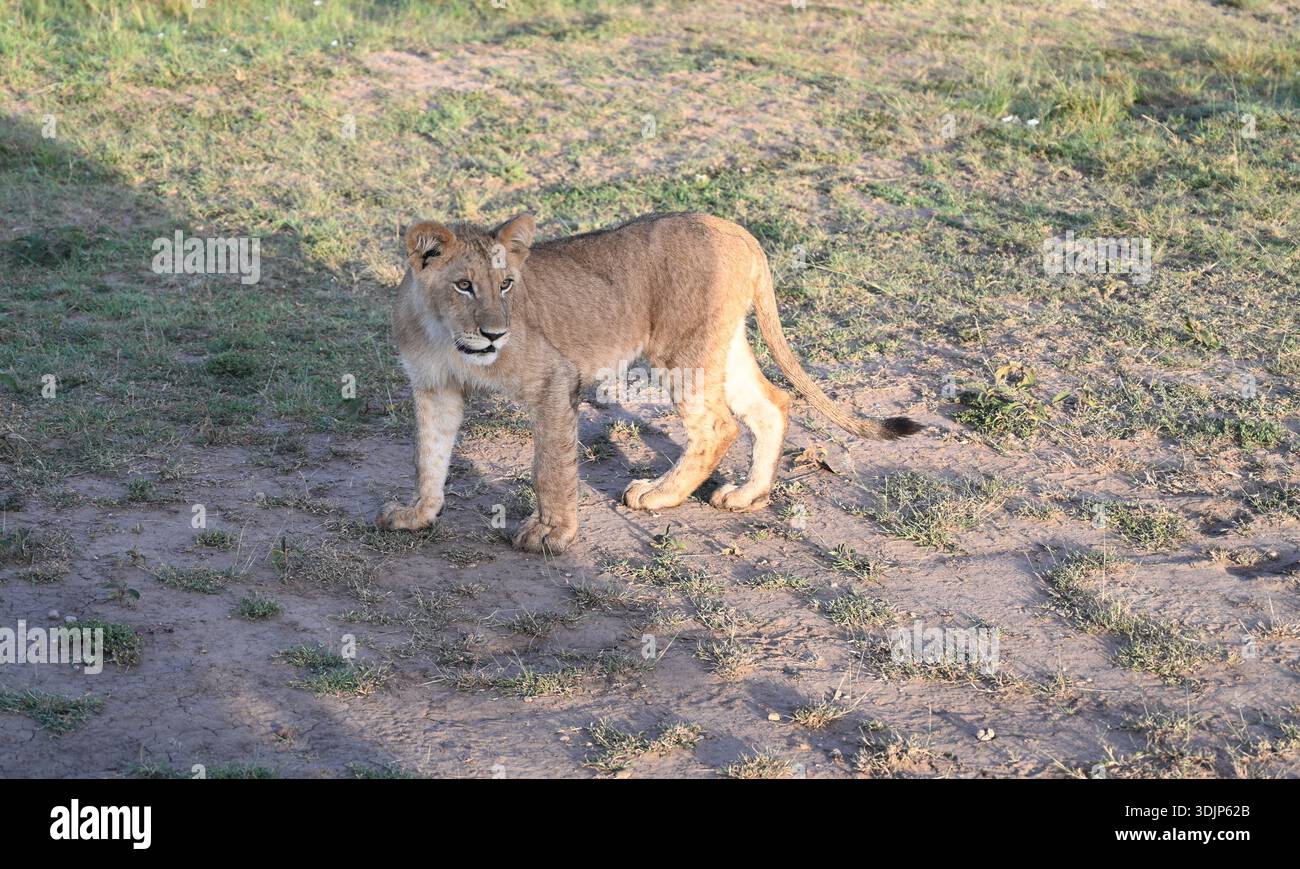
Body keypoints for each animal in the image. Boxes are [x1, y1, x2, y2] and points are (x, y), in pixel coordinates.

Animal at [376, 212, 920, 554]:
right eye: (464, 285)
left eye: (506, 284)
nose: (495, 333)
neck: (446, 336)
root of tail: (735, 230)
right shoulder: (434, 389)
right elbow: (429, 456)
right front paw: (417, 514)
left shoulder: (554, 380)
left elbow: (550, 468)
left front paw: (551, 534)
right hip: (720, 343)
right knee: (771, 404)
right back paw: (746, 495)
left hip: (680, 351)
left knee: (717, 426)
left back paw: (658, 495)